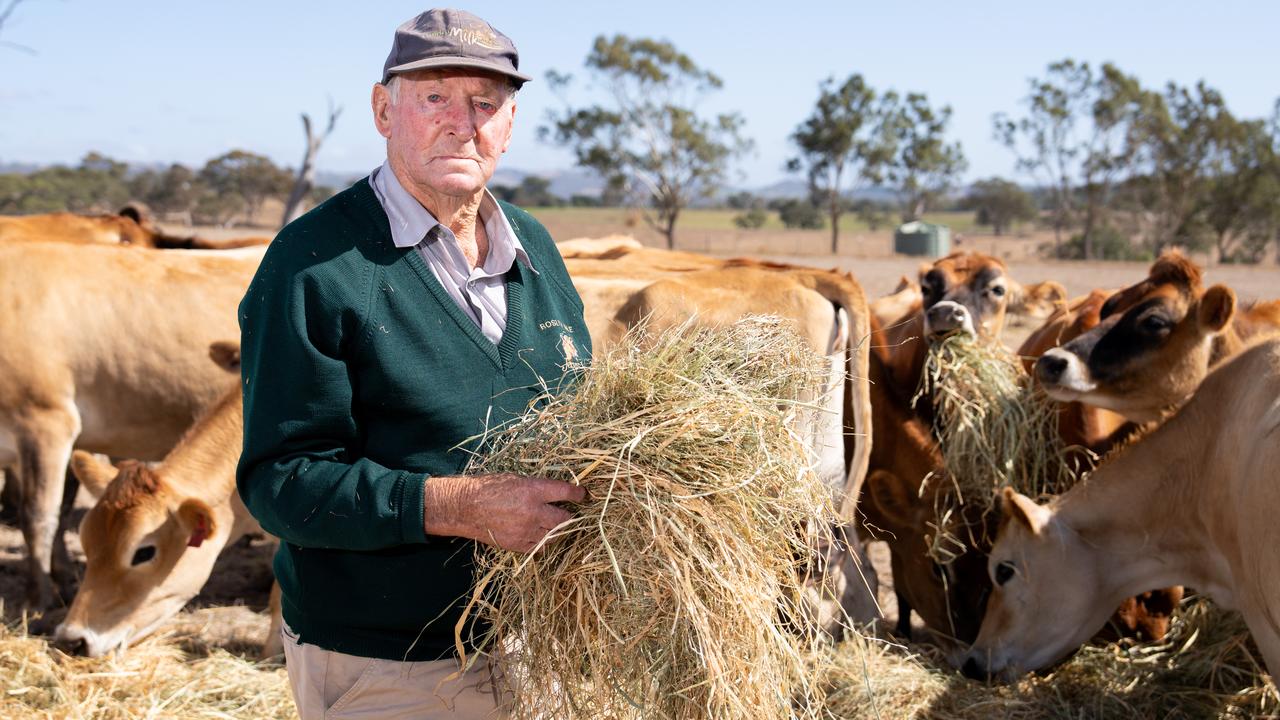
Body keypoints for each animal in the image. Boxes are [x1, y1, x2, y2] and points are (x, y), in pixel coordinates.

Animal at [0, 240, 261, 604]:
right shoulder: (76, 441)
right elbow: (63, 511)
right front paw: (63, 580)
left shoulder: (47, 422)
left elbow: (40, 517)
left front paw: (39, 598)